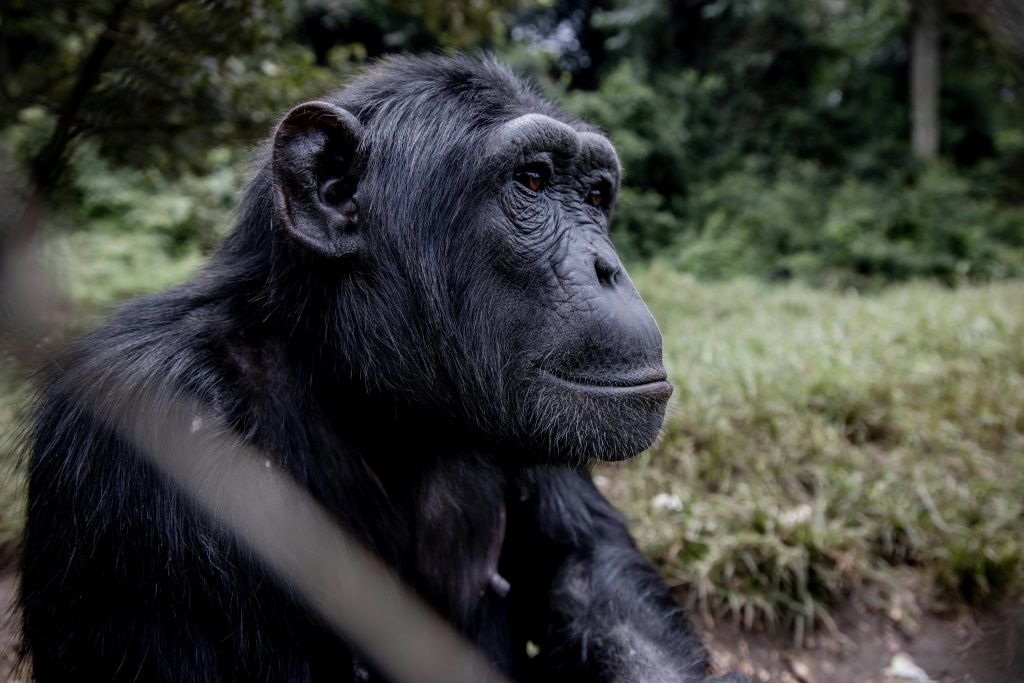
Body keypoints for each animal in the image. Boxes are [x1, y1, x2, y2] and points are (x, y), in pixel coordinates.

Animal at [19, 54, 749, 683]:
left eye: (595, 196)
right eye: (533, 181)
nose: (608, 267)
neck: (363, 396)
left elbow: (582, 558)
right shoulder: (139, 424)